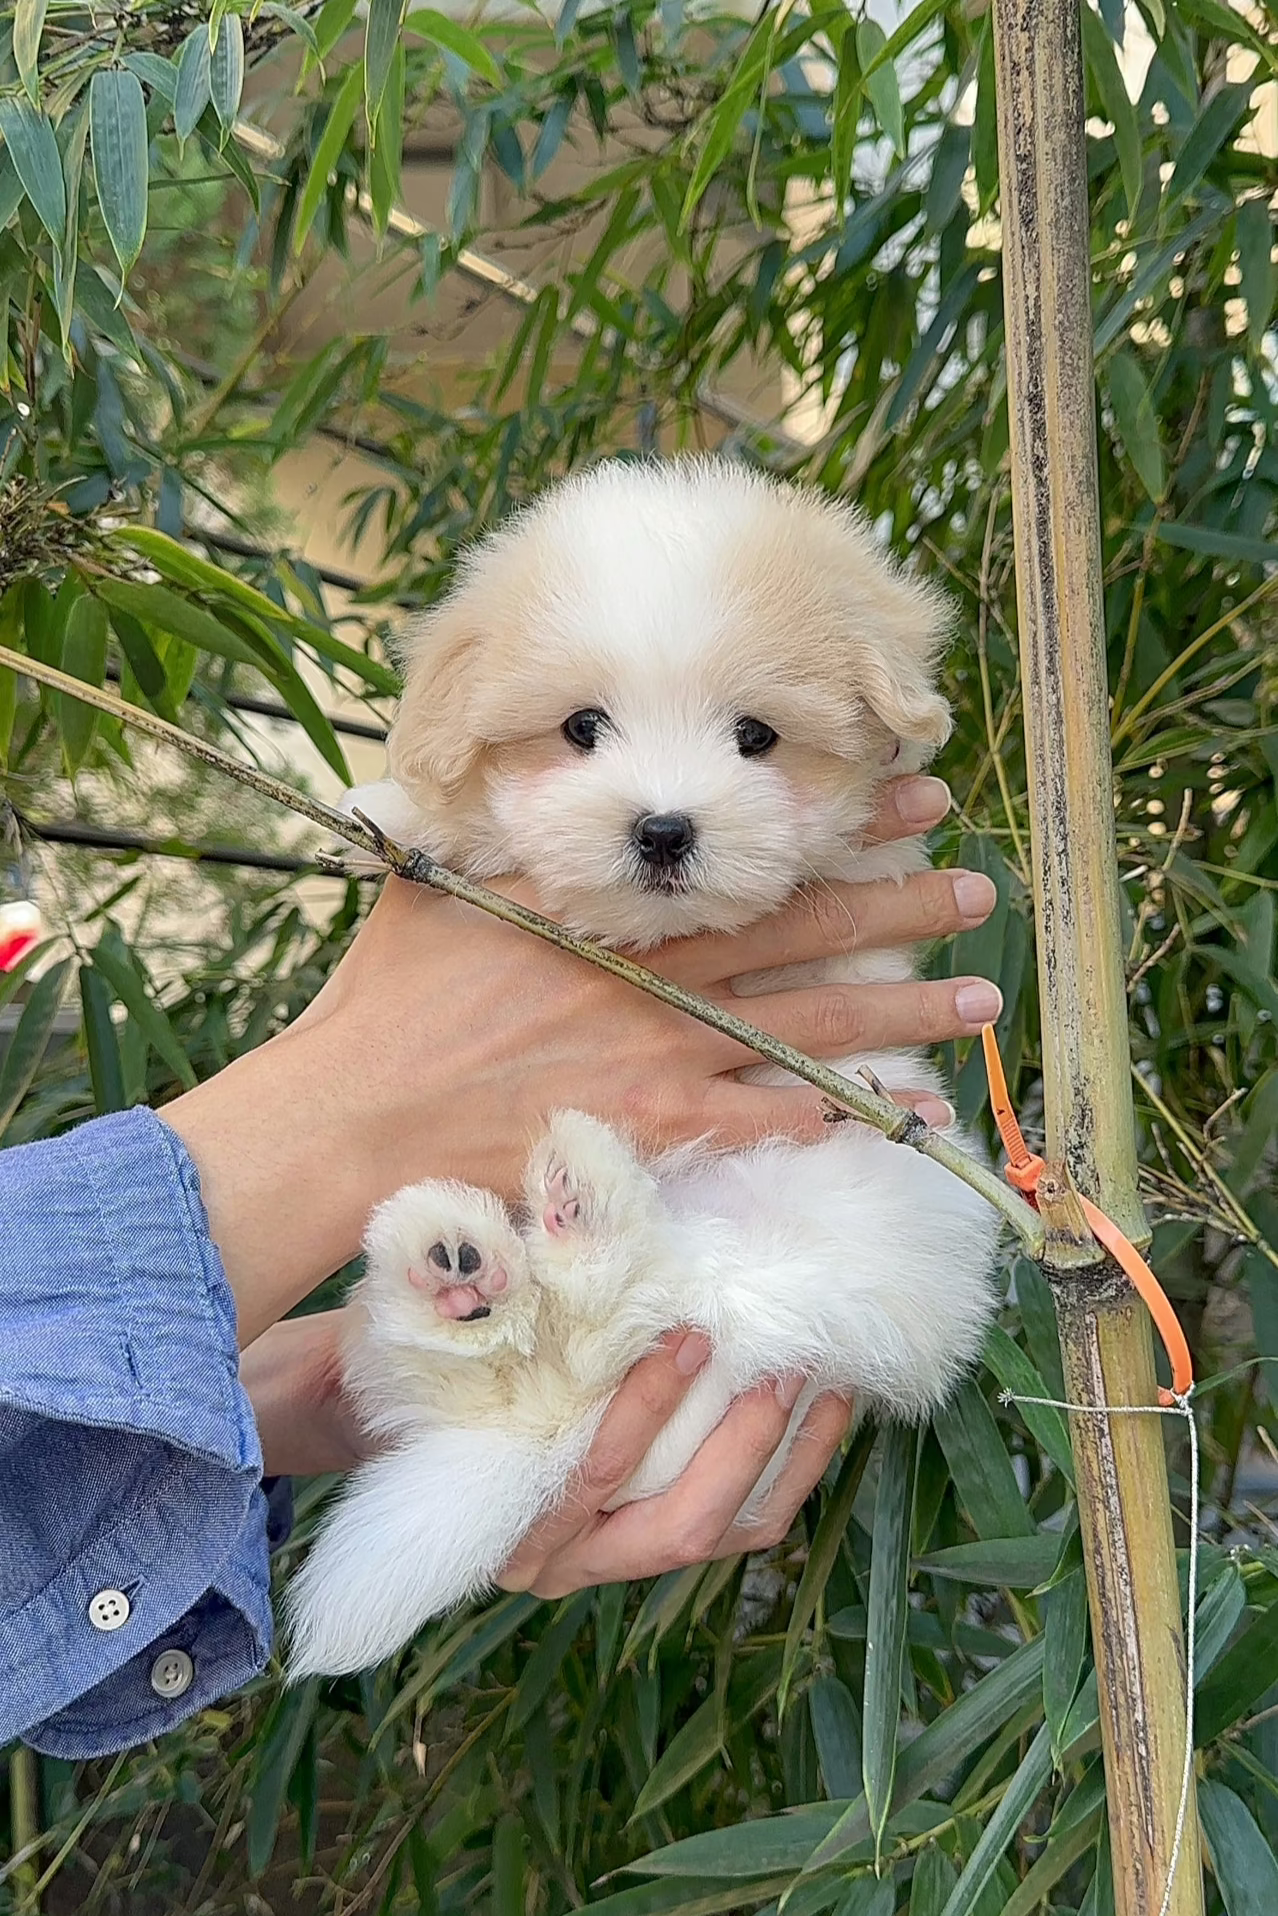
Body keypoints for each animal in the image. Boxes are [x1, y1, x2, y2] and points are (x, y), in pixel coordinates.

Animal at [285, 452, 1004, 1678]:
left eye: (757, 736)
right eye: (582, 727)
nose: (664, 830)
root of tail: (550, 1435)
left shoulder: (865, 886)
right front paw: (386, 812)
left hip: (778, 1294)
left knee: (623, 1303)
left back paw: (572, 1213)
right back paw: (456, 1265)